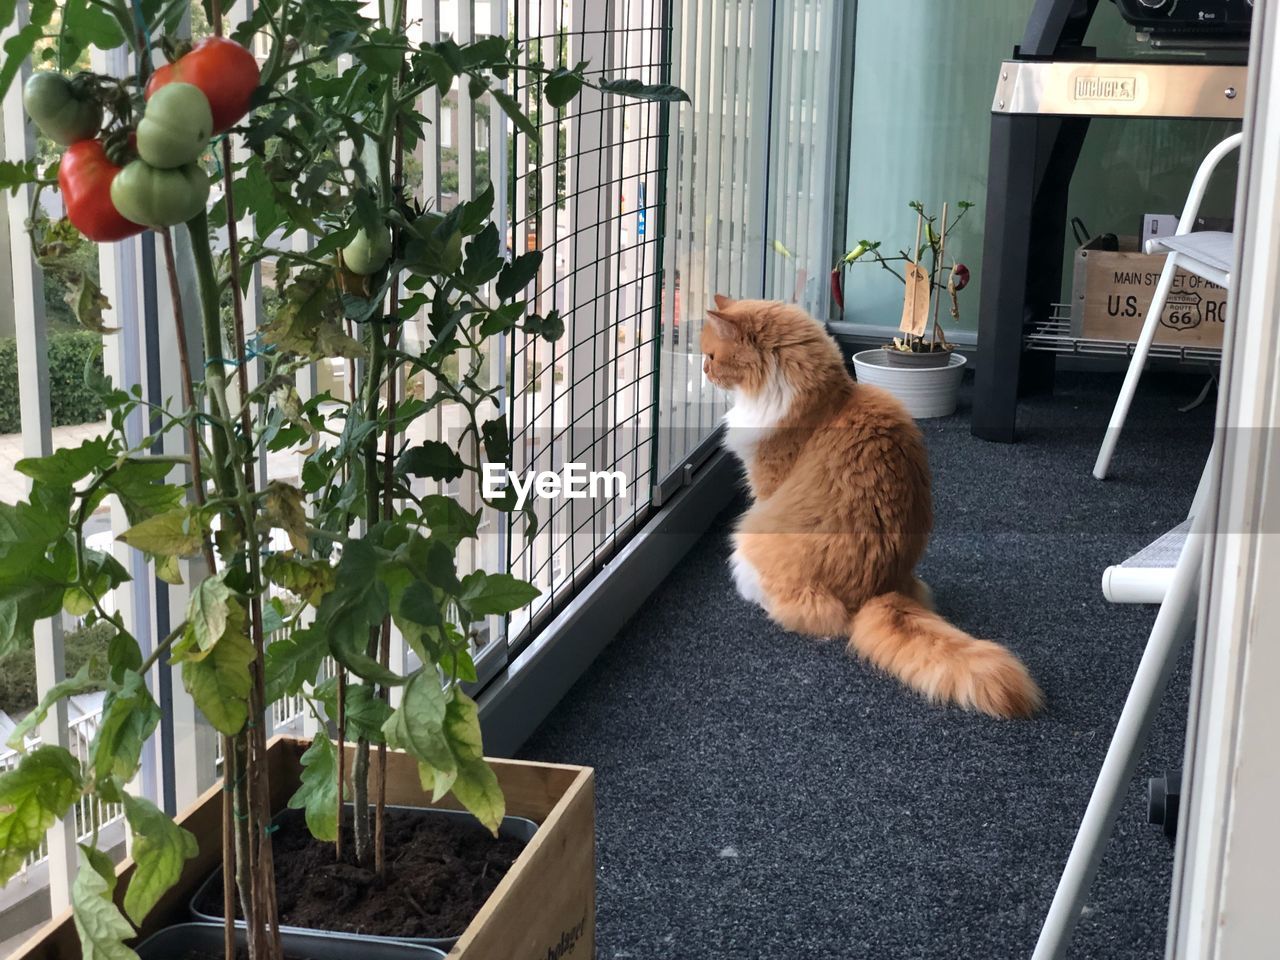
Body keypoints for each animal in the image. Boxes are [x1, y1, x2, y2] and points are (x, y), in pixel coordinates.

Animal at [706, 296, 1044, 716]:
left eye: (712, 356)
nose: (703, 370)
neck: (828, 398)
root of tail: (880, 589)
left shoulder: (766, 481)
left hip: (751, 538)